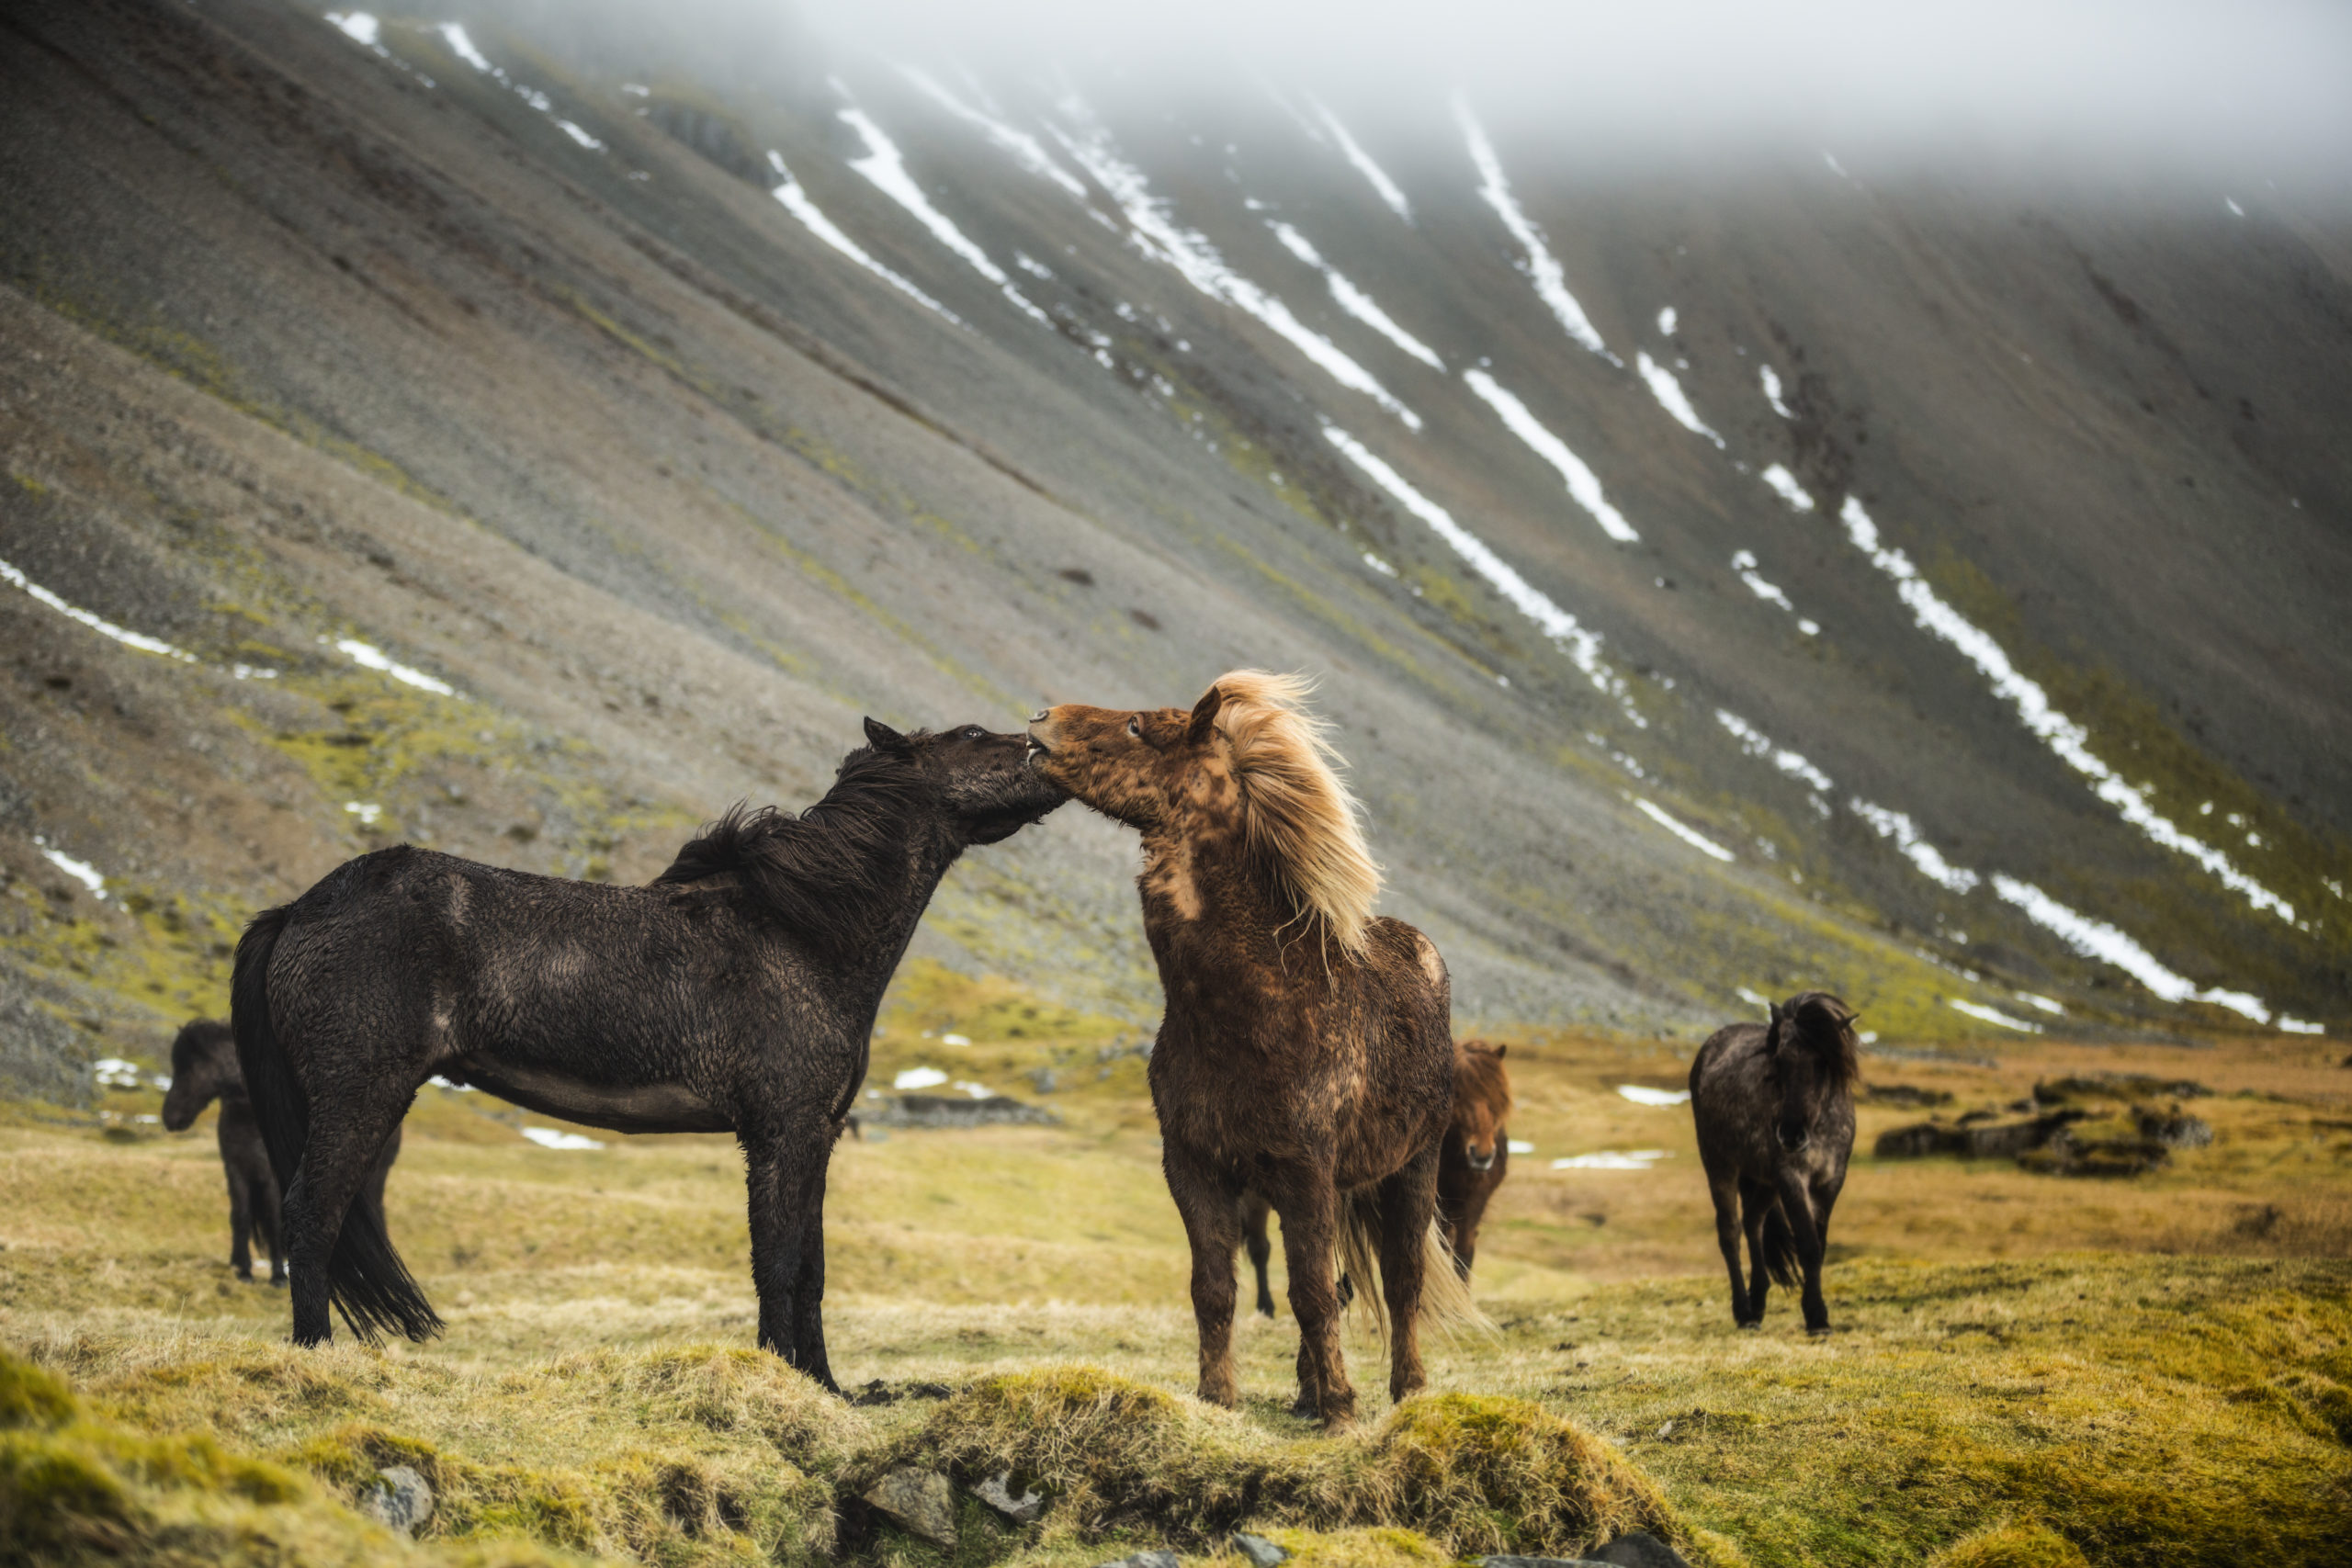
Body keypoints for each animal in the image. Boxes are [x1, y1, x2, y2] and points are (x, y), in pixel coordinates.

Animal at [160, 1020, 400, 1288]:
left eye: (188, 1069)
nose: (169, 1117)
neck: (249, 1117)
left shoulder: (271, 1177)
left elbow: (274, 1219)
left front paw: (277, 1275)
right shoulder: (236, 1170)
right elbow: (241, 1216)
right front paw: (244, 1270)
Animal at [232, 719, 1068, 1382]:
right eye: (972, 735)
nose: (1050, 747)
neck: (802, 932)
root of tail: (300, 908)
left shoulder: (816, 1136)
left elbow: (812, 1269)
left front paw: (827, 1387)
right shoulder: (782, 1132)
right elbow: (780, 1263)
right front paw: (784, 1379)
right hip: (358, 1092)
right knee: (312, 1212)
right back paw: (316, 1356)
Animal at [1025, 667, 1467, 1429]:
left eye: (1138, 724)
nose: (1040, 721)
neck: (1253, 1005)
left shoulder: (1305, 1172)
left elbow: (1313, 1293)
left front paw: (1342, 1410)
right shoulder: (1194, 1167)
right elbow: (1216, 1288)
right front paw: (1218, 1397)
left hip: (1413, 1164)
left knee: (1401, 1278)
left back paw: (1404, 1389)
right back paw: (1306, 1390)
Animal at [1693, 991, 1853, 1335]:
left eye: (1822, 1062)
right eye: (1778, 1061)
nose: (1791, 1134)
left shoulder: (1831, 1181)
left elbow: (1820, 1244)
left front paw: (1816, 1314)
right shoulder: (1791, 1178)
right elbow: (1808, 1244)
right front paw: (1817, 1317)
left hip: (1764, 1180)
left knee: (1754, 1221)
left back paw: (1758, 1302)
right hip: (1720, 1165)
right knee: (1730, 1231)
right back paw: (1744, 1312)